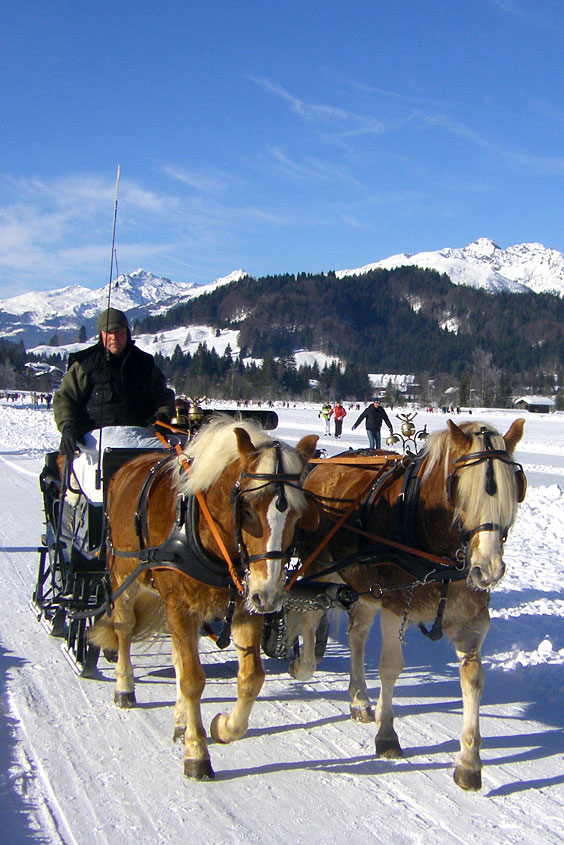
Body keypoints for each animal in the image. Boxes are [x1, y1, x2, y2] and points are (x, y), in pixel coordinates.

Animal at [88, 416, 318, 780]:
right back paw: (124, 687)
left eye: (296, 514)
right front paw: (196, 754)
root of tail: (129, 464)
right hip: (123, 573)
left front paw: (222, 727)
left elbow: (251, 678)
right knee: (124, 629)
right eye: (247, 511)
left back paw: (182, 722)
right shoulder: (180, 607)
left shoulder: (242, 608)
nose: (269, 596)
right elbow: (193, 679)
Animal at [288, 418, 528, 788]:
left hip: (365, 588)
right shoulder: (395, 603)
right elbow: (390, 667)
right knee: (308, 614)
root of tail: (324, 466)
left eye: (512, 488)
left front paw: (469, 761)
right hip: (322, 567)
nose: (488, 569)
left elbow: (473, 679)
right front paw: (387, 734)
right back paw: (302, 661)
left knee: (356, 636)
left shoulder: (470, 618)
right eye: (459, 487)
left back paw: (359, 698)